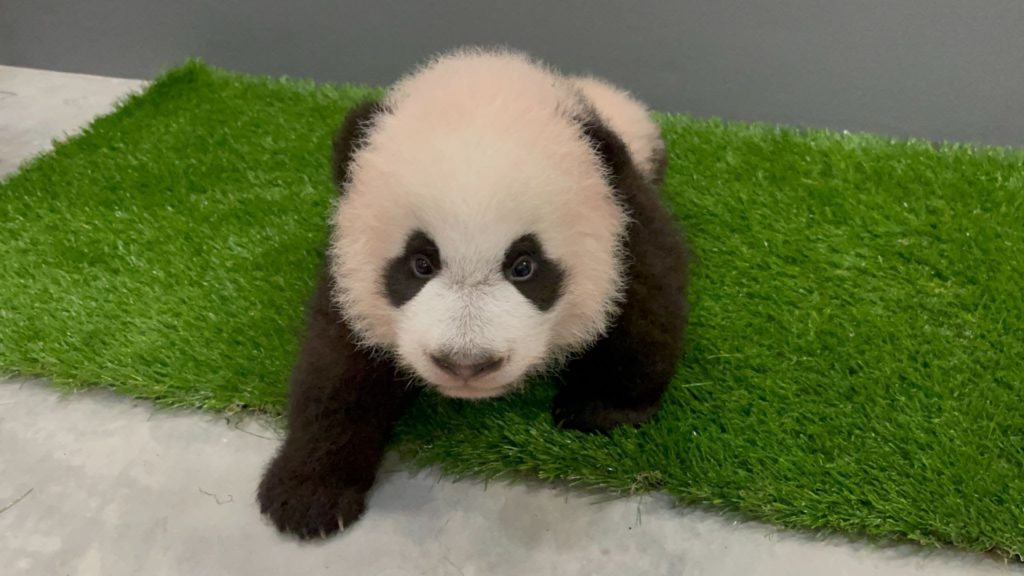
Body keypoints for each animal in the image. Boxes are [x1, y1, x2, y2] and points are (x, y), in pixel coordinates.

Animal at [258, 47, 690, 539]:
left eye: (523, 266)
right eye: (420, 264)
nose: (466, 364)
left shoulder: (622, 211)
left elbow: (645, 303)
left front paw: (601, 410)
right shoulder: (349, 272)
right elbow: (336, 366)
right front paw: (308, 496)